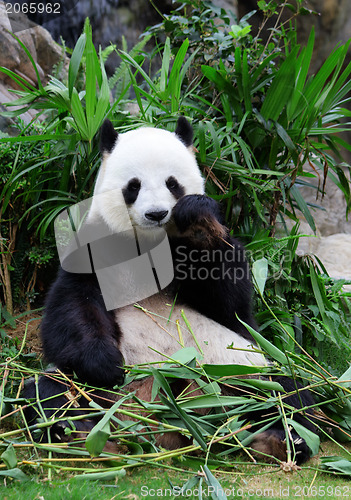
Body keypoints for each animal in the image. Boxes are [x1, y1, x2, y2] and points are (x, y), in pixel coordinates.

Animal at [23, 117, 318, 464]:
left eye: (172, 183)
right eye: (133, 185)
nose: (156, 214)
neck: (148, 245)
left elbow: (233, 306)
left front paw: (199, 225)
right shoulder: (95, 246)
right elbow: (73, 306)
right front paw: (106, 363)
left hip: (240, 369)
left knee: (287, 391)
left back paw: (280, 439)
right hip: (99, 393)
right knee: (50, 391)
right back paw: (77, 434)